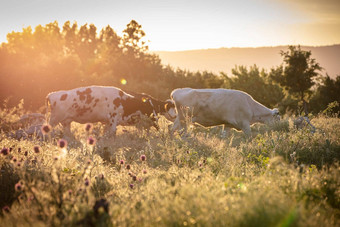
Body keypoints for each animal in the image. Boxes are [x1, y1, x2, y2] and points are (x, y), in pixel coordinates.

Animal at [45, 86, 177, 137]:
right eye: (172, 106)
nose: (176, 116)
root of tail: (52, 94)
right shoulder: (113, 120)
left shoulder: (108, 122)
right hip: (54, 119)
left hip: (66, 122)